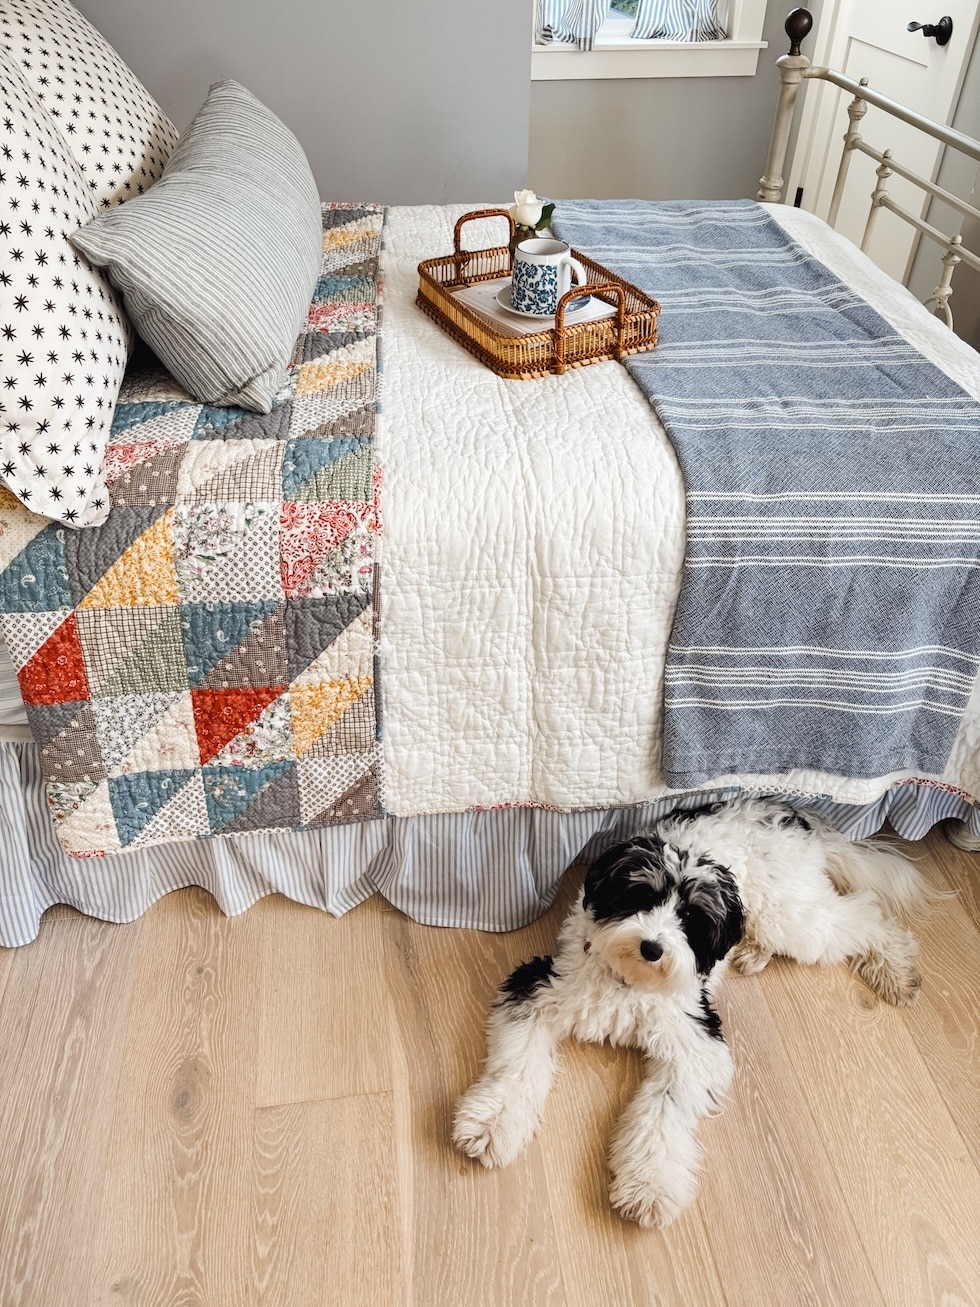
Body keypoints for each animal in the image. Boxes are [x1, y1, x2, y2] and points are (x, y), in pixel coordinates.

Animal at [452, 789, 930, 1228]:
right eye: (640, 895)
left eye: (690, 917)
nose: (651, 947)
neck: (630, 984)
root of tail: (786, 811)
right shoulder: (538, 991)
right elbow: (516, 1071)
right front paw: (491, 1126)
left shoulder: (695, 1041)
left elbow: (664, 1114)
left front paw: (648, 1185)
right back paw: (756, 954)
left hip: (789, 915)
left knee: (863, 914)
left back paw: (896, 969)